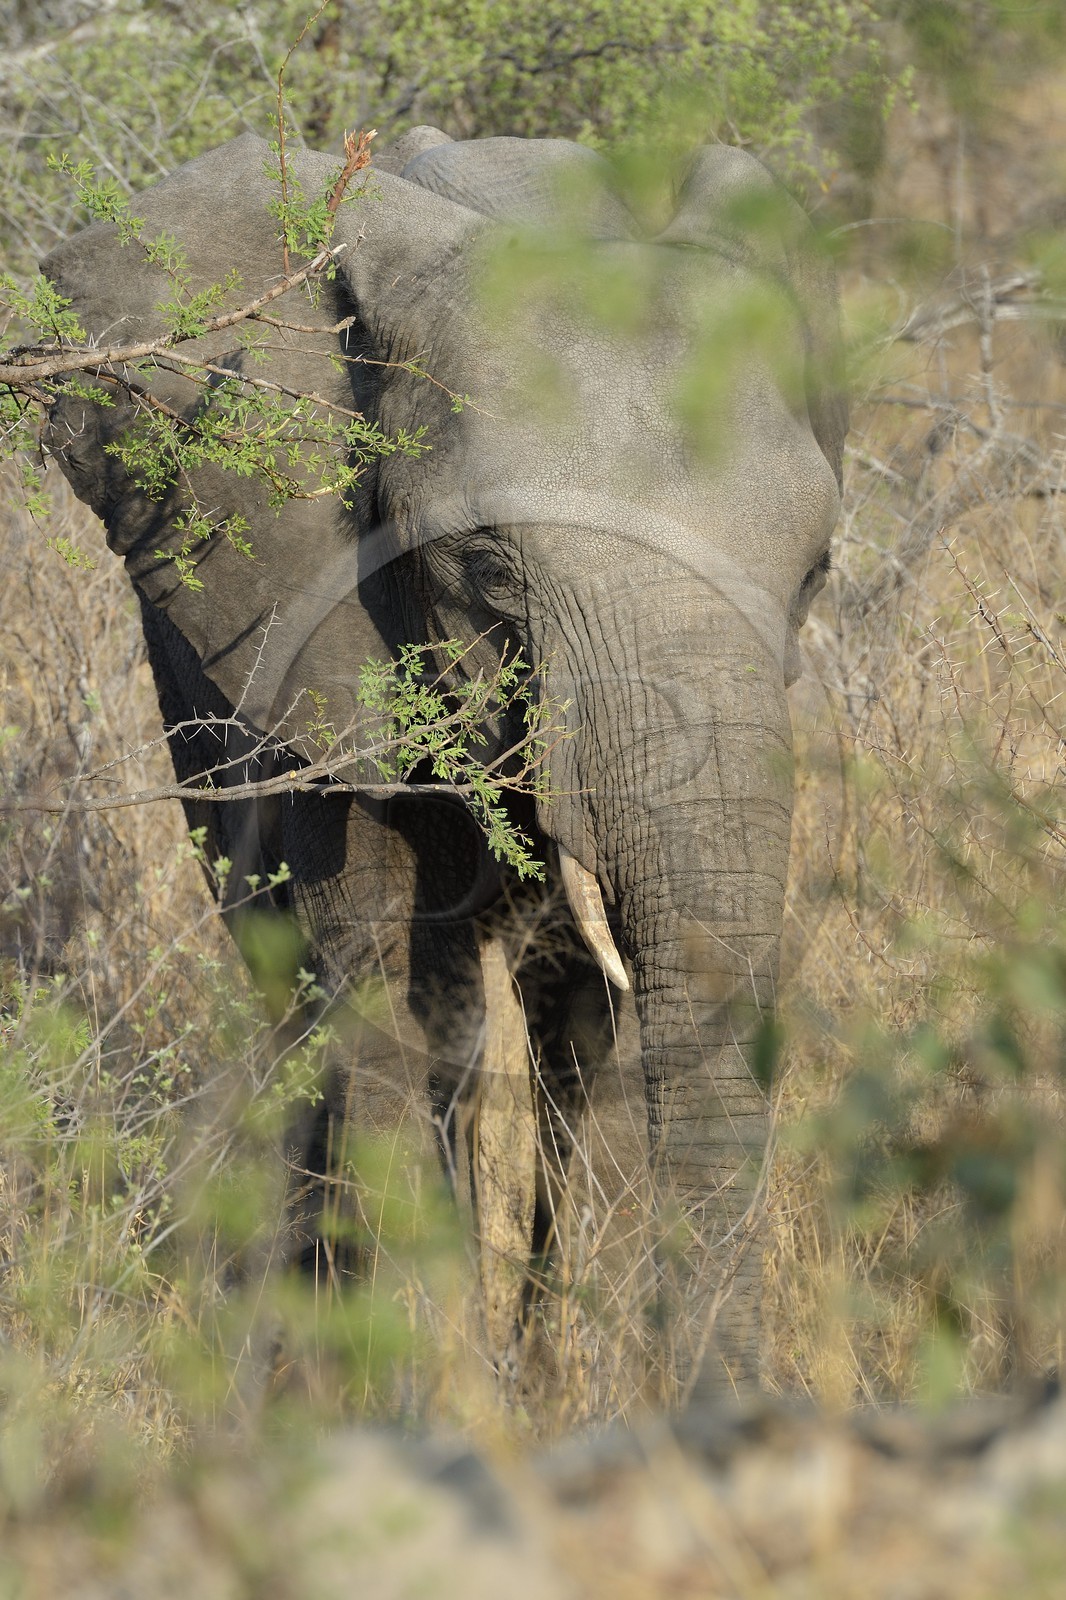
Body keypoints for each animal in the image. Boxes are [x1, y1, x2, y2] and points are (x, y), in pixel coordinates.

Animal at [41, 125, 846, 1400]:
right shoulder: (317, 632)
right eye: (489, 570)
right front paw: (423, 1400)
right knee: (311, 995)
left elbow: (580, 1020)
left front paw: (542, 1391)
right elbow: (386, 992)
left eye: (813, 570)